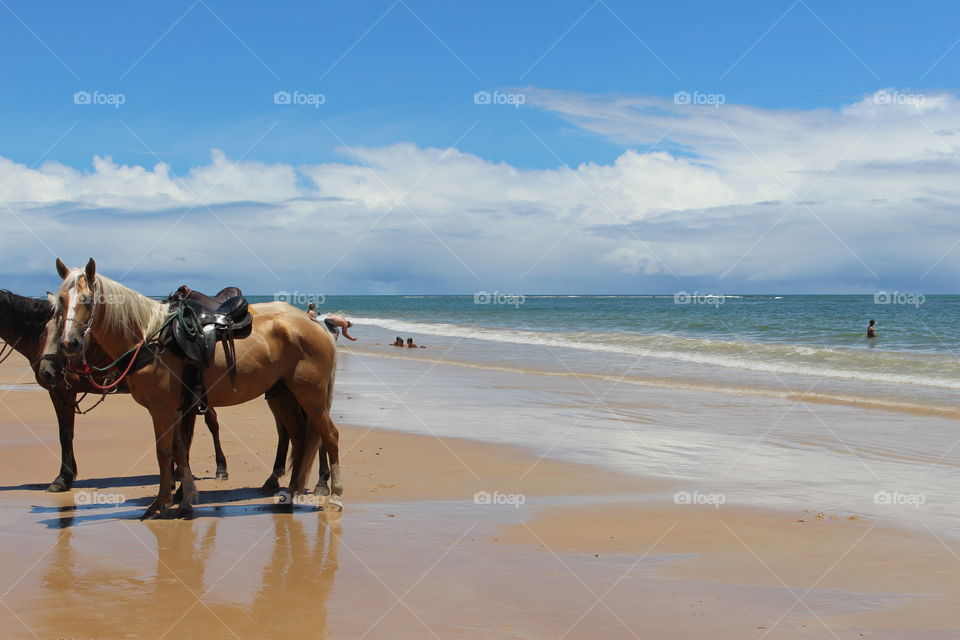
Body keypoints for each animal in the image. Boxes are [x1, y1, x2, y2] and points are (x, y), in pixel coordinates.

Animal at [0, 289, 230, 490]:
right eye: (47, 331)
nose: (47, 371)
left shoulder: (62, 391)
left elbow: (65, 434)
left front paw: (63, 478)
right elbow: (66, 433)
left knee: (211, 422)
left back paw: (218, 468)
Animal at [46, 258, 341, 519]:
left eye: (86, 300)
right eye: (61, 301)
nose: (69, 344)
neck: (150, 338)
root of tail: (316, 325)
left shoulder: (162, 409)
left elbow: (164, 452)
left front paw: (160, 503)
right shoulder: (176, 409)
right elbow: (179, 451)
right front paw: (185, 499)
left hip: (310, 396)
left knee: (329, 436)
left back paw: (335, 495)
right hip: (284, 395)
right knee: (300, 439)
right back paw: (289, 494)